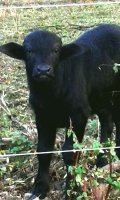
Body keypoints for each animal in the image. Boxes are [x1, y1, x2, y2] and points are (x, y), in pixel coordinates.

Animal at [0, 23, 120, 198]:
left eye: (56, 50)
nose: (43, 70)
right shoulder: (42, 117)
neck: (51, 97)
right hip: (100, 98)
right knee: (107, 123)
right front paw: (40, 188)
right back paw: (102, 161)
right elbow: (43, 151)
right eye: (28, 50)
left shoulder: (78, 116)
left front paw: (72, 188)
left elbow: (70, 152)